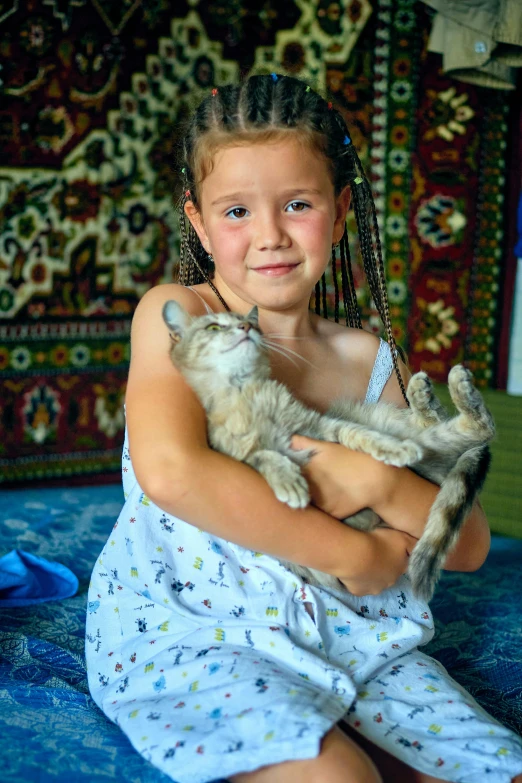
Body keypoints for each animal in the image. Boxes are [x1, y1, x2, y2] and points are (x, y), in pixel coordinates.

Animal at [161, 300, 492, 600]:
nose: (245, 328)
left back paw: (432, 389)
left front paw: (393, 448)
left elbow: (358, 435)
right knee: (472, 429)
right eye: (214, 327)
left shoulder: (319, 425)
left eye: (249, 323)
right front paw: (289, 482)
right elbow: (264, 456)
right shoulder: (235, 455)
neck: (249, 395)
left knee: (472, 426)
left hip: (400, 425)